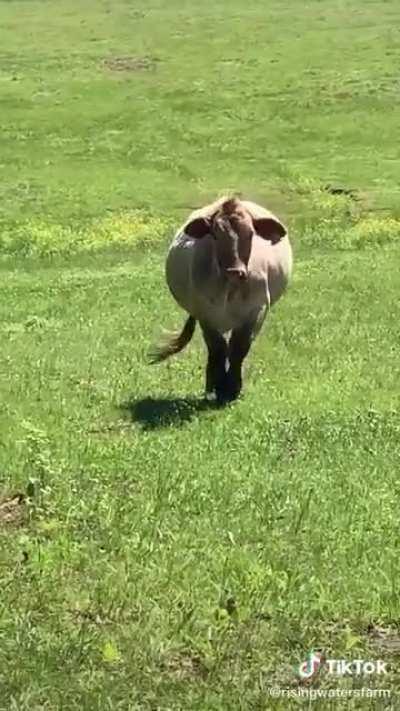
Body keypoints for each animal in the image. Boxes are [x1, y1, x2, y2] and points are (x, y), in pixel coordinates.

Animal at [149, 196, 293, 403]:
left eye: (250, 234)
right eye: (215, 235)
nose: (235, 272)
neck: (229, 289)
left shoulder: (256, 310)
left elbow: (238, 348)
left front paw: (233, 388)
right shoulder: (205, 313)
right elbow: (217, 348)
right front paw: (219, 386)